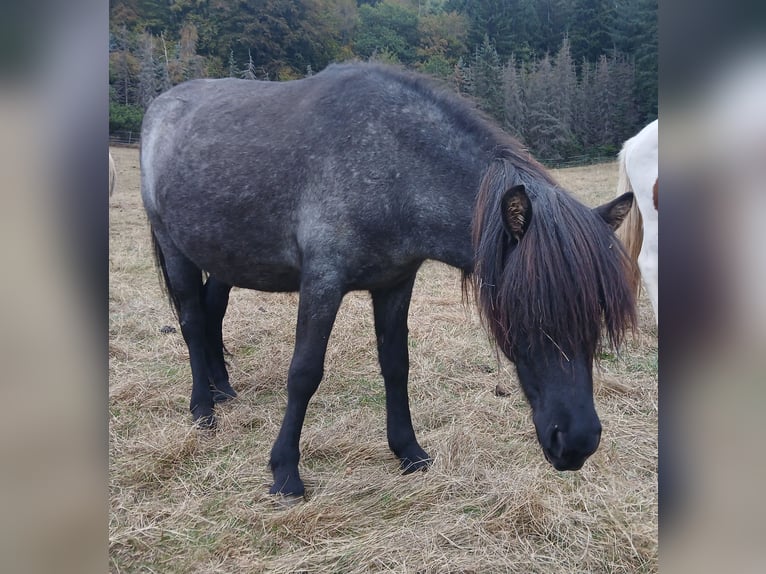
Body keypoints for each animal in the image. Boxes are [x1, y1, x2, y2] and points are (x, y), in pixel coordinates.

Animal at [140, 62, 637, 496]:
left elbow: (397, 366)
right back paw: (203, 409)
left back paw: (222, 390)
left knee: (212, 314)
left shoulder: (396, 284)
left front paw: (409, 452)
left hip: (224, 259)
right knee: (191, 321)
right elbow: (304, 373)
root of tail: (159, 107)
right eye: (526, 313)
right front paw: (284, 473)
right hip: (175, 249)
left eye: (597, 316)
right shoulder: (323, 282)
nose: (577, 443)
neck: (392, 164)